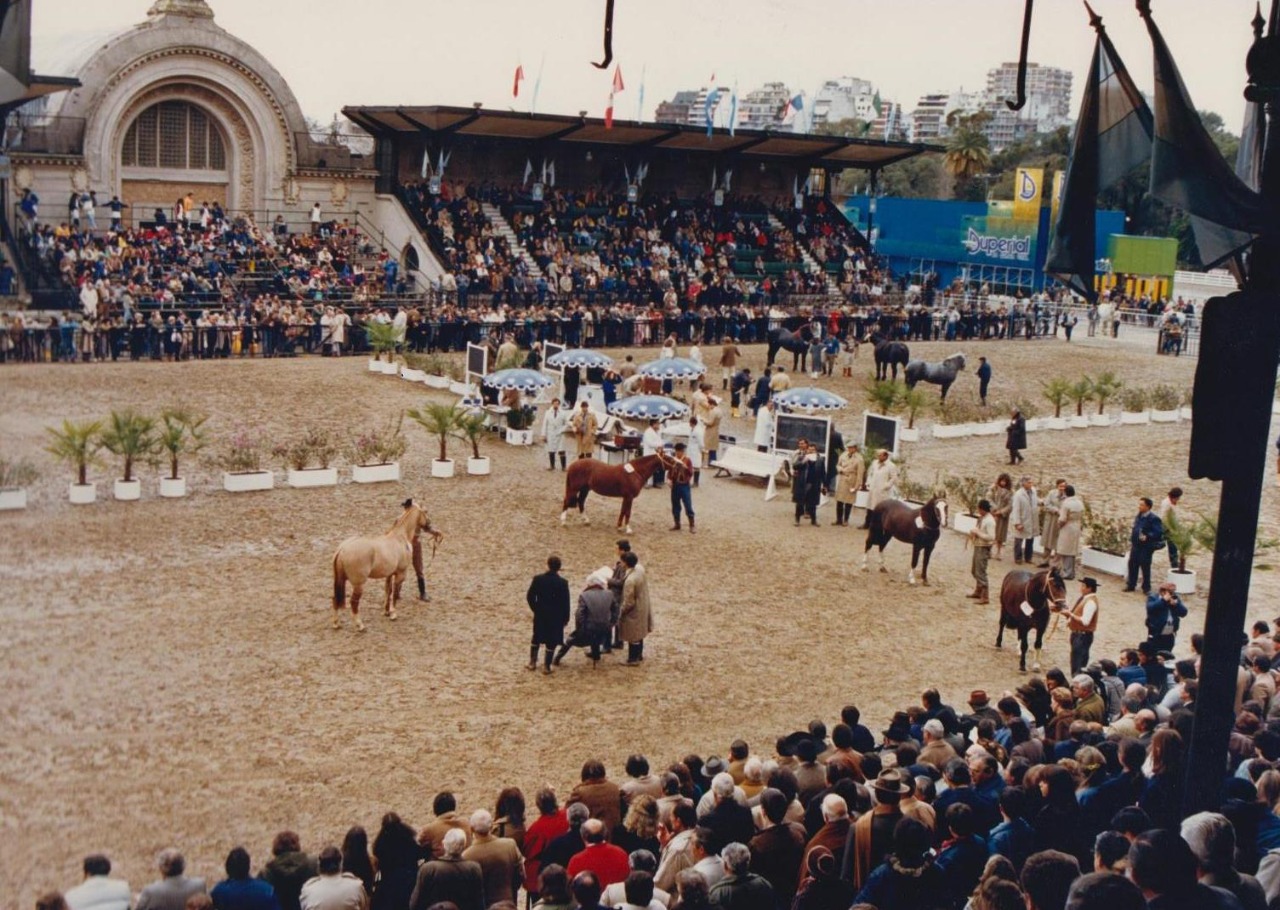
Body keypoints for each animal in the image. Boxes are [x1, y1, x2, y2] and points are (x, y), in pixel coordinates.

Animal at [332, 499, 442, 634]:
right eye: (425, 511)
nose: (429, 525)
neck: (400, 536)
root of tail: (342, 549)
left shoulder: (389, 574)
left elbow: (388, 591)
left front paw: (386, 611)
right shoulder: (400, 574)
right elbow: (394, 593)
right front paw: (393, 613)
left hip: (340, 580)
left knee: (335, 599)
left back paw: (336, 624)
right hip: (358, 585)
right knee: (353, 602)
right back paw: (360, 625)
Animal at [563, 450, 691, 534]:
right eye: (670, 459)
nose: (684, 466)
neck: (636, 472)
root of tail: (573, 464)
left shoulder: (626, 497)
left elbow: (623, 511)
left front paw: (619, 527)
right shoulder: (629, 497)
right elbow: (628, 512)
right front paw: (628, 529)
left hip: (585, 489)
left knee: (581, 502)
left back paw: (586, 521)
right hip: (574, 488)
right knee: (566, 501)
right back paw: (563, 521)